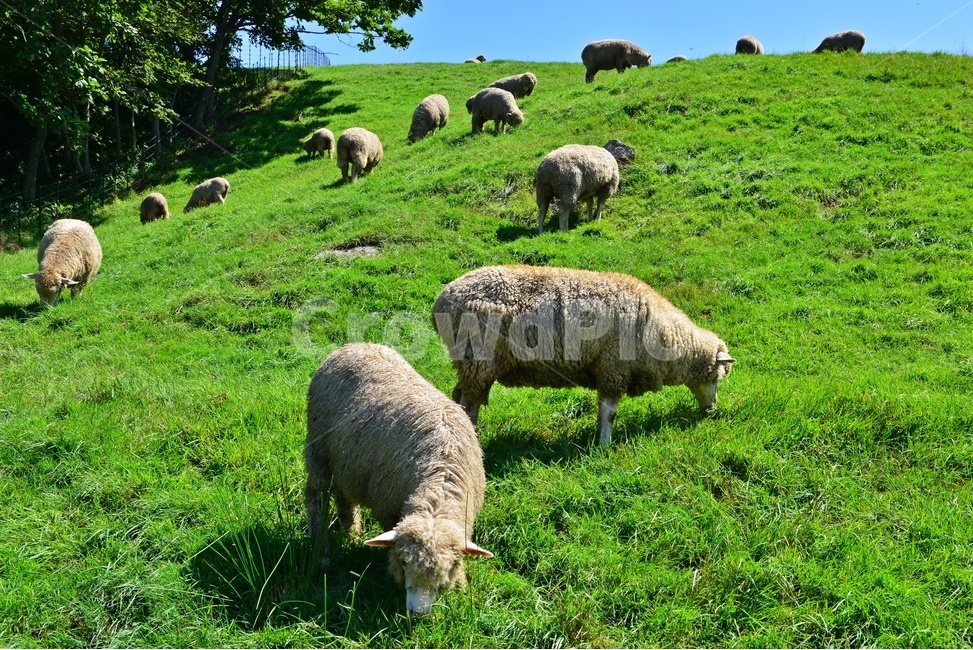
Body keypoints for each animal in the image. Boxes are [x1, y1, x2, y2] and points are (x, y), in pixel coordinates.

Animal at [305, 342, 494, 615]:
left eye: (446, 570)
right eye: (404, 563)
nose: (417, 613)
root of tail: (353, 345)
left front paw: (460, 584)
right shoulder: (387, 506)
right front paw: (389, 575)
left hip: (347, 460)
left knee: (343, 493)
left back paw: (351, 531)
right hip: (318, 447)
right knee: (315, 495)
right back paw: (321, 553)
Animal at [432, 265, 736, 447]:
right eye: (718, 378)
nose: (712, 410)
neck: (663, 335)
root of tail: (442, 300)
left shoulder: (605, 370)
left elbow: (603, 410)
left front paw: (599, 440)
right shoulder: (613, 368)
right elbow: (609, 413)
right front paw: (605, 444)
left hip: (471, 363)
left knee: (460, 397)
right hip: (477, 358)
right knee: (470, 404)